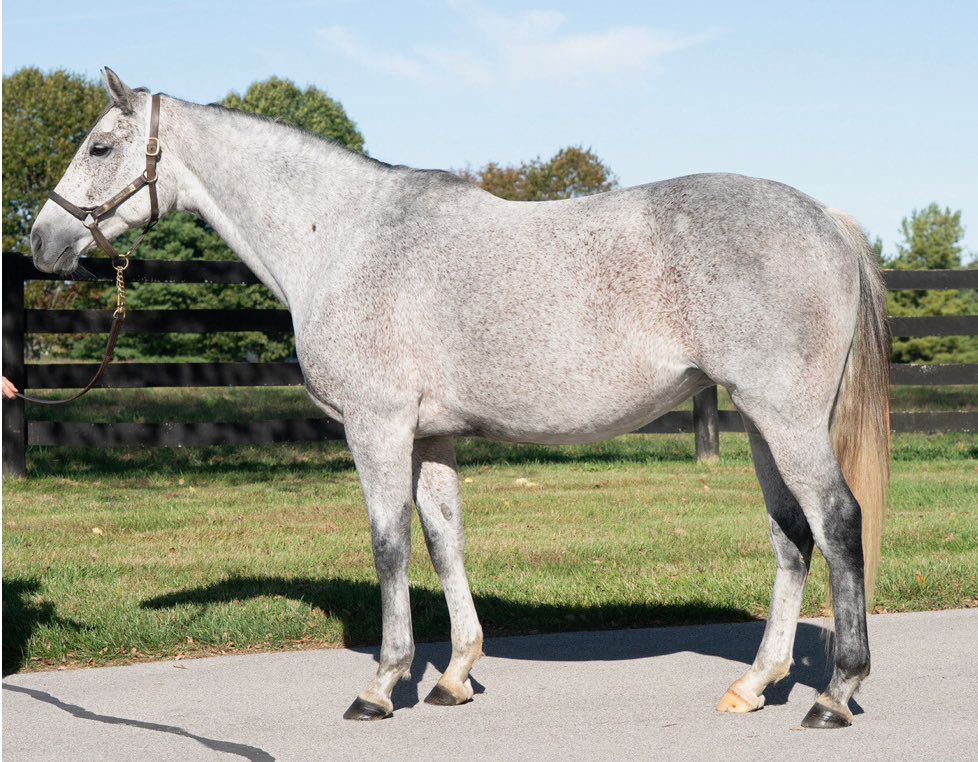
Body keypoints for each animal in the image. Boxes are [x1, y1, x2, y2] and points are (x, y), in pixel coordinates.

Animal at [30, 69, 889, 729]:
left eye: (99, 146)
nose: (41, 242)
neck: (341, 238)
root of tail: (826, 219)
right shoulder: (431, 437)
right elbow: (446, 542)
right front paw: (453, 676)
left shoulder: (377, 428)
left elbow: (389, 546)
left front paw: (383, 685)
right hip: (760, 421)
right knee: (791, 535)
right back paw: (756, 684)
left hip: (785, 418)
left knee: (836, 521)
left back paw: (835, 693)